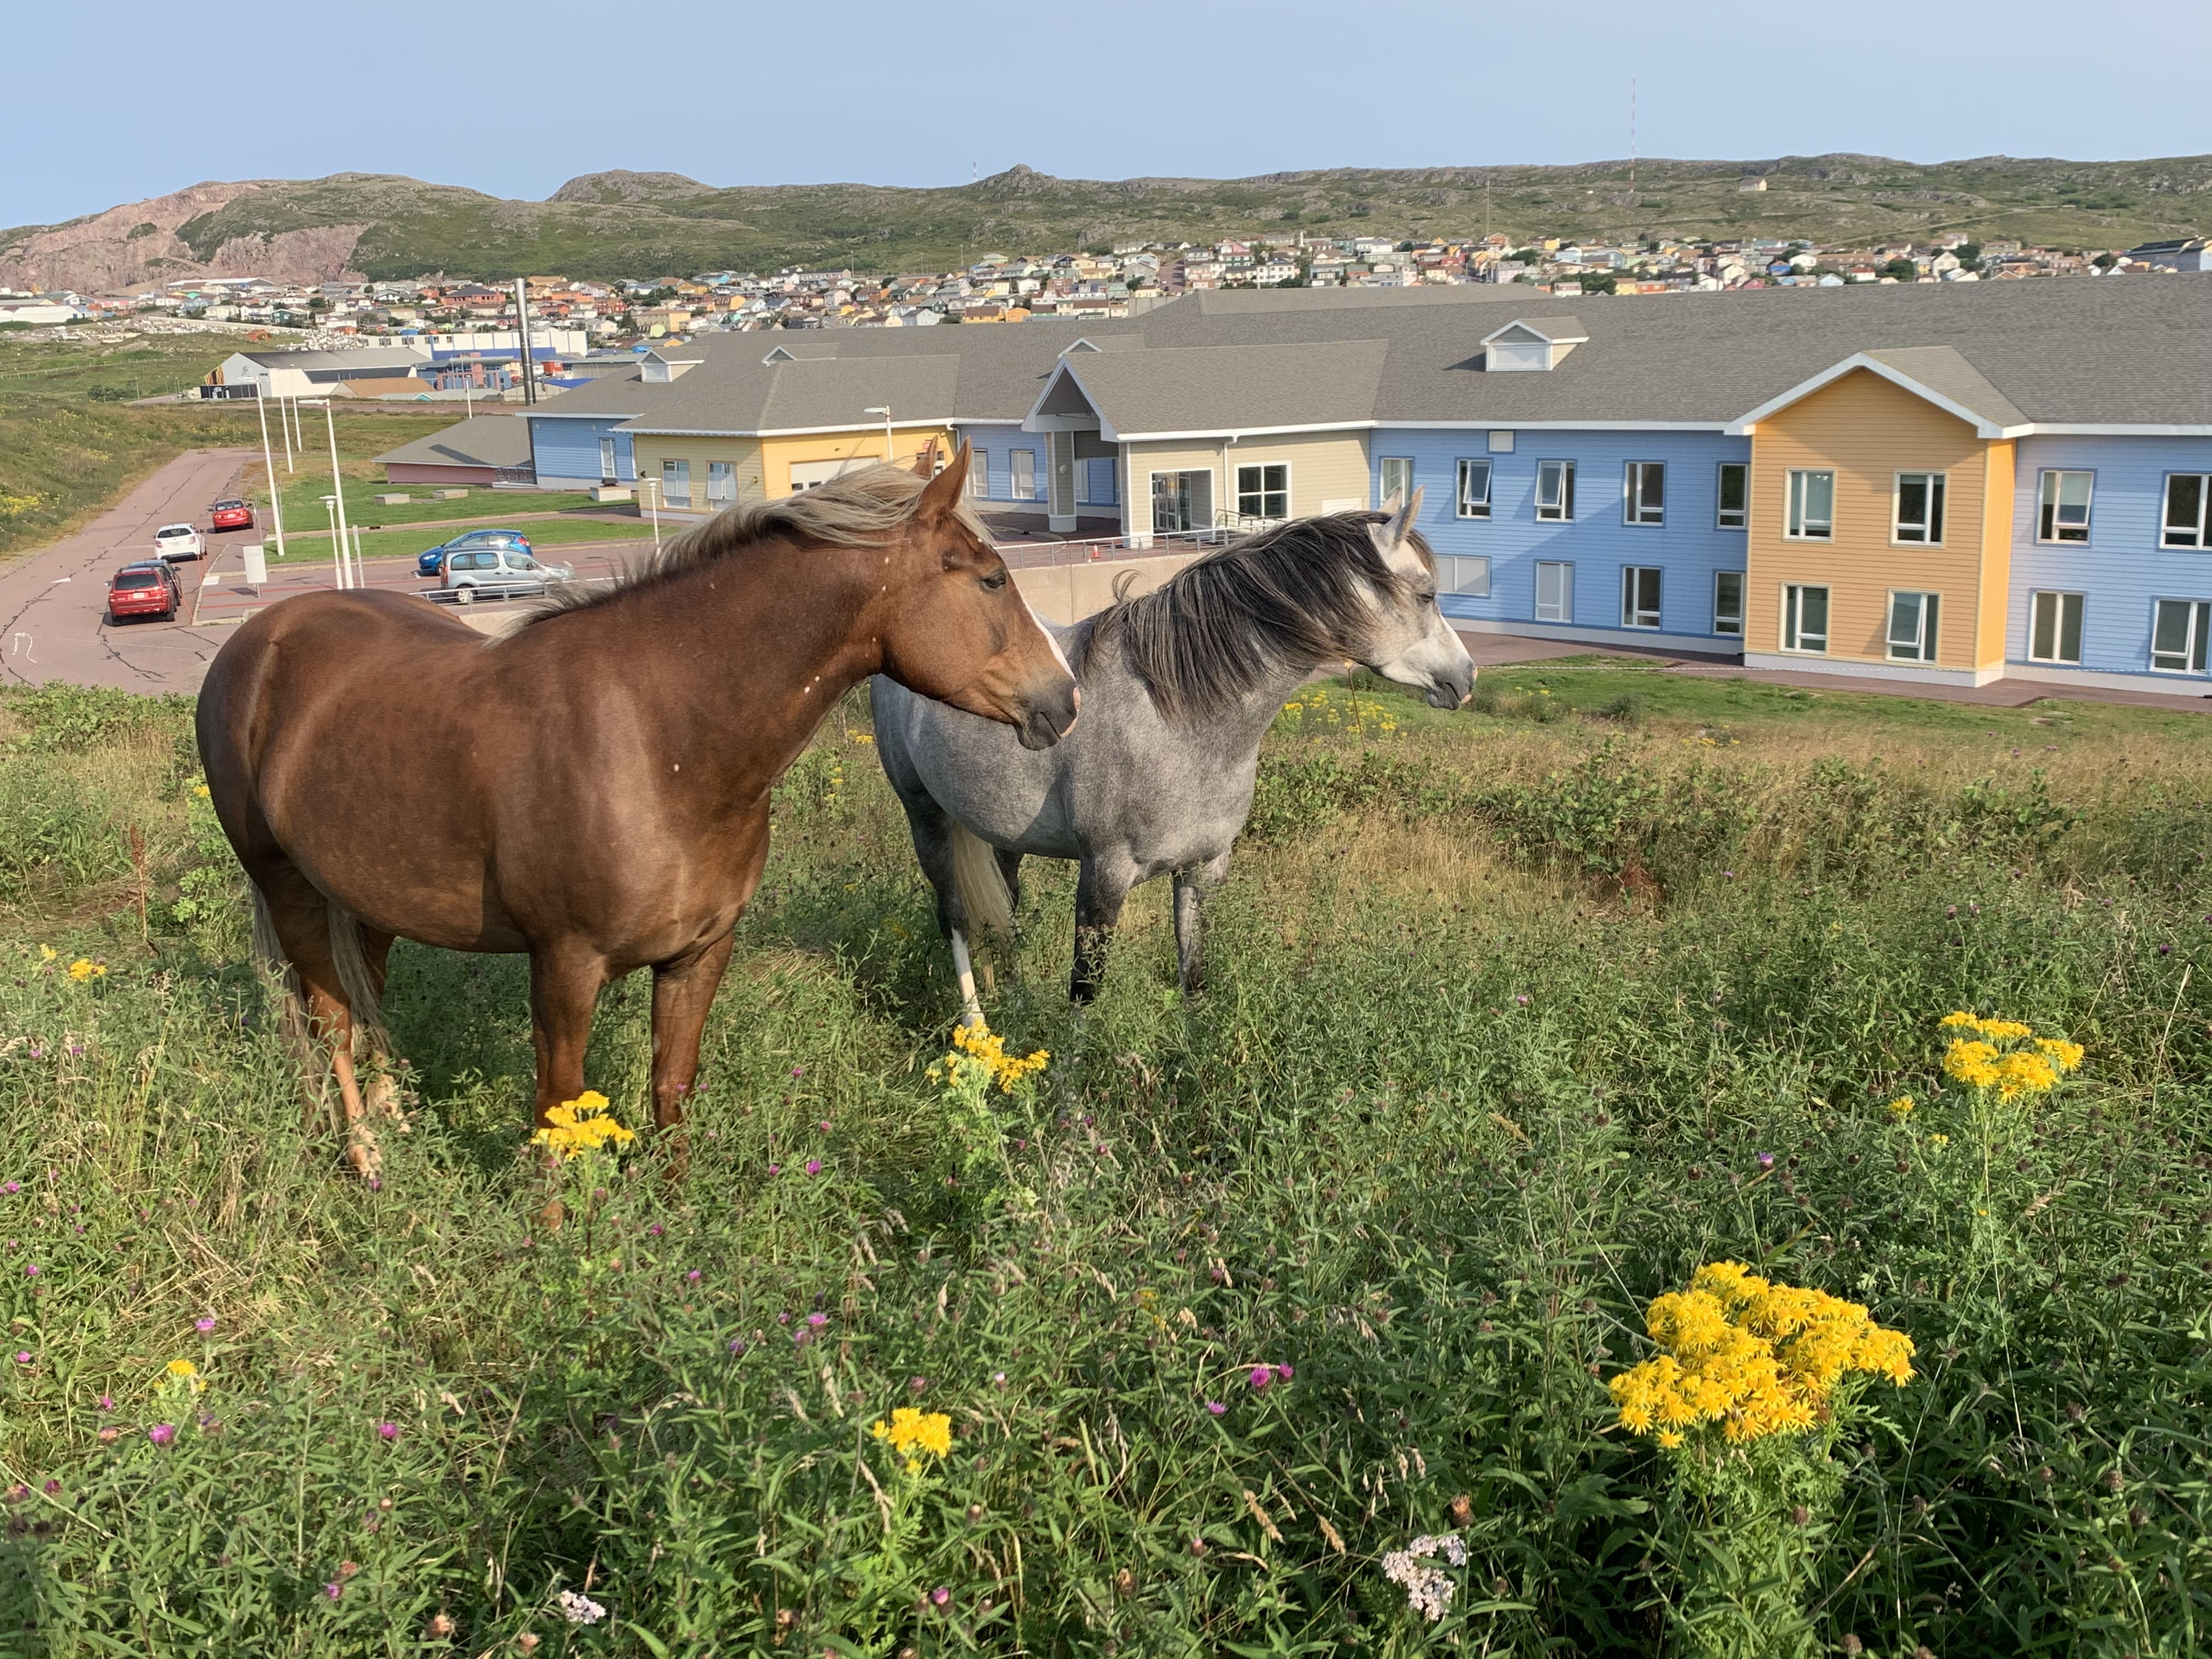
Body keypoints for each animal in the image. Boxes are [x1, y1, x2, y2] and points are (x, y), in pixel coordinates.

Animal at [199, 449, 1079, 1177]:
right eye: (991, 579)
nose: (1065, 701)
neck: (659, 739)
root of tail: (258, 640)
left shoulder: (698, 955)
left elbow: (670, 1088)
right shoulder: (563, 967)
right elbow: (557, 1113)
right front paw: (558, 1239)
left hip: (367, 895)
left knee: (369, 998)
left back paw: (397, 1124)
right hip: (287, 887)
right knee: (331, 1019)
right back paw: (365, 1155)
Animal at [871, 487, 1477, 1022]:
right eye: (1427, 594)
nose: (1467, 678)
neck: (1176, 725)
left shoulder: (1200, 872)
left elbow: (1194, 979)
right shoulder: (1103, 878)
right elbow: (1084, 994)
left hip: (1001, 834)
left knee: (1006, 909)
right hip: (925, 817)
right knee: (954, 918)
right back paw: (977, 1029)